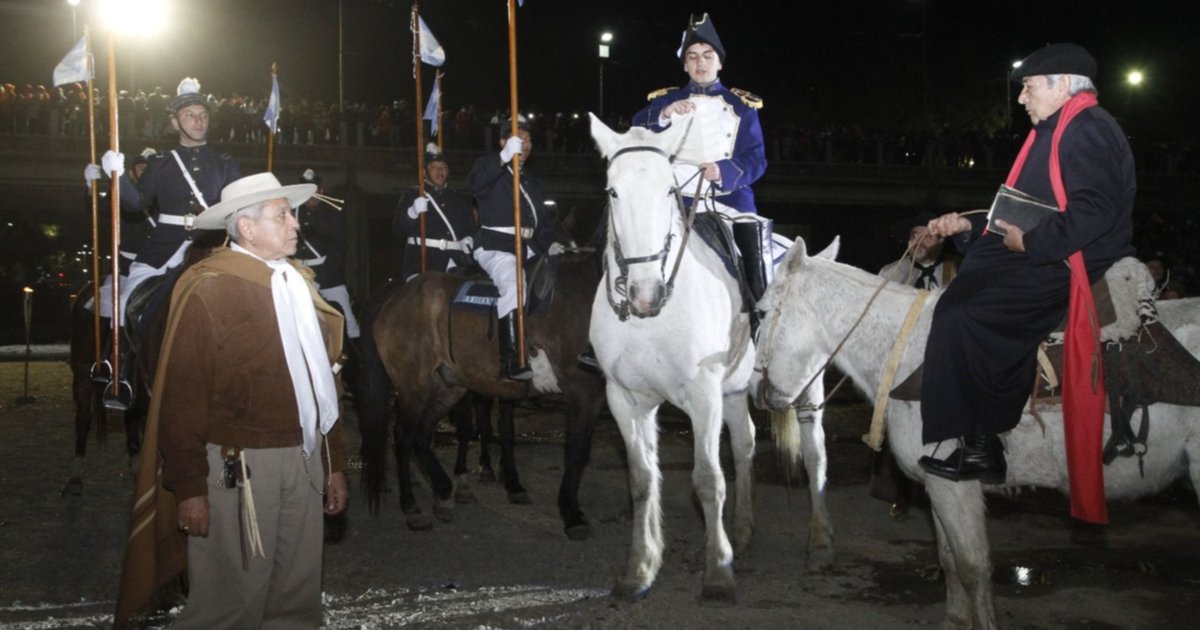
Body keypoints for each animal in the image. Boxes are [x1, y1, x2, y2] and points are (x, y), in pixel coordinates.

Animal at [352, 250, 600, 535]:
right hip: (413, 387)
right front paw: (572, 514)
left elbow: (582, 451)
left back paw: (443, 490)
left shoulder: (599, 396)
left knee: (421, 435)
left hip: (449, 386)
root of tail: (397, 291)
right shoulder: (581, 389)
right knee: (403, 436)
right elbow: (575, 451)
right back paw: (412, 507)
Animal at [585, 114, 830, 604]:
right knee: (745, 445)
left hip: (806, 386)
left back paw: (819, 545)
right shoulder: (626, 398)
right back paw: (743, 531)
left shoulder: (702, 396)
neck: (651, 319)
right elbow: (641, 480)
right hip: (733, 392)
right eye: (612, 191)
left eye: (667, 189)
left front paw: (717, 572)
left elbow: (707, 480)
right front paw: (639, 569)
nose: (645, 292)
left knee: (815, 454)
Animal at [753, 237, 1200, 628]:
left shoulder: (956, 486)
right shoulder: (939, 484)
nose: (759, 392)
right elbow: (950, 560)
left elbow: (973, 567)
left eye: (760, 312)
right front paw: (956, 621)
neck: (907, 352)